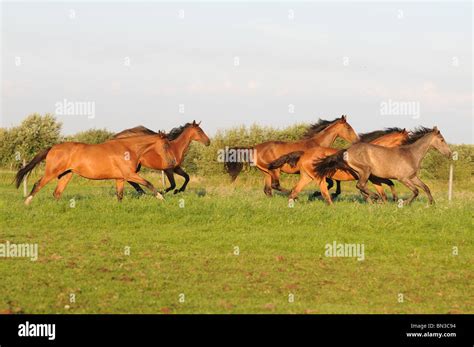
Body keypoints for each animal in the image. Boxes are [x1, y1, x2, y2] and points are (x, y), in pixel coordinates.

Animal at [16, 132, 178, 205]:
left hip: (66, 174)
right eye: (166, 145)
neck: (128, 150)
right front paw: (161, 197)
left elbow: (120, 195)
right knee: (38, 184)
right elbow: (149, 184)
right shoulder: (129, 175)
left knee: (57, 193)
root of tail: (53, 148)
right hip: (52, 172)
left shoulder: (120, 178)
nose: (172, 161)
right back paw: (26, 203)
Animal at [226, 116, 360, 196]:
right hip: (275, 170)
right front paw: (316, 193)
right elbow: (331, 182)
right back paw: (290, 192)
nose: (357, 140)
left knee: (267, 189)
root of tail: (255, 147)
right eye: (348, 128)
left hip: (266, 172)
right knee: (275, 185)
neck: (317, 144)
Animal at [270, 128, 412, 201]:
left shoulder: (373, 178)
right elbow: (381, 189)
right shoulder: (373, 177)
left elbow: (387, 187)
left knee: (295, 190)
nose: (409, 151)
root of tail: (305, 153)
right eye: (406, 139)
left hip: (308, 176)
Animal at [314, 127, 452, 204]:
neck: (411, 154)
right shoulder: (403, 178)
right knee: (360, 185)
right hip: (366, 171)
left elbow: (425, 188)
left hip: (361, 173)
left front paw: (432, 203)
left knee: (361, 187)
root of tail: (347, 150)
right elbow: (416, 191)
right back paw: (375, 198)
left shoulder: (413, 177)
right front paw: (404, 203)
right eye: (442, 140)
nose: (450, 153)